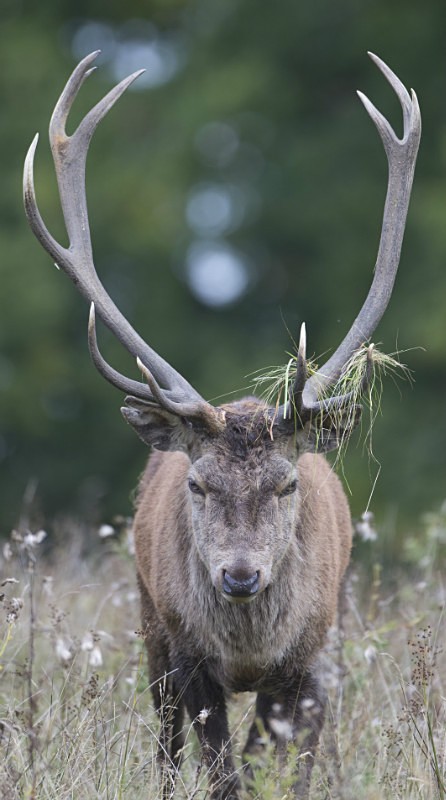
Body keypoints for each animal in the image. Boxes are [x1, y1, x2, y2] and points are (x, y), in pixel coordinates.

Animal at [23, 51, 420, 799]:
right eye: (199, 484)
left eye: (288, 484)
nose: (239, 576)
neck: (249, 655)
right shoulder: (187, 656)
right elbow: (220, 772)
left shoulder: (312, 659)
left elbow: (291, 770)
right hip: (149, 622)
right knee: (166, 745)